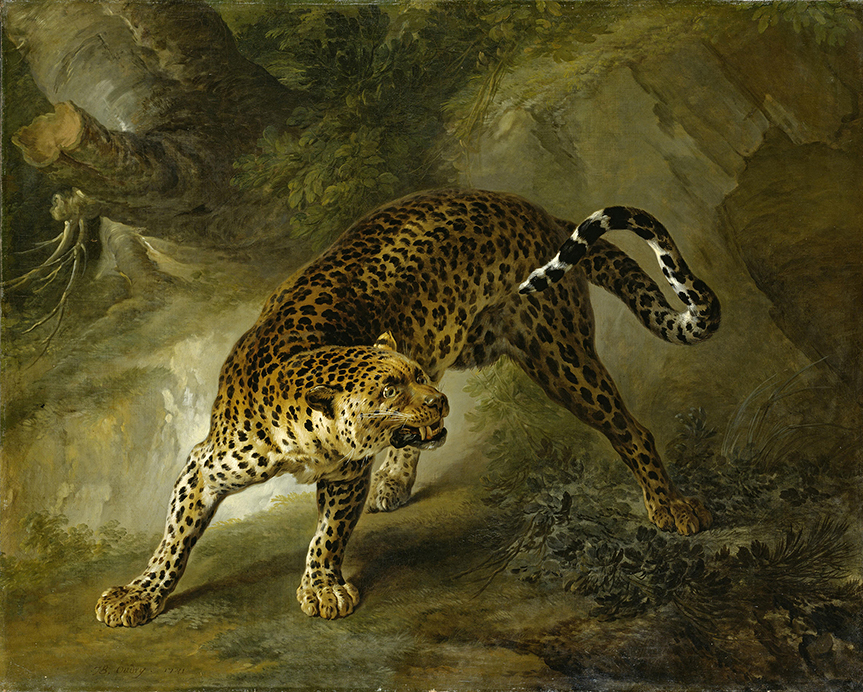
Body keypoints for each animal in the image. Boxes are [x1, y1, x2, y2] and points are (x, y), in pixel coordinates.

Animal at [95, 188, 719, 627]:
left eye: (412, 379)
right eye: (392, 391)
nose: (438, 401)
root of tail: (541, 216)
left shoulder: (346, 473)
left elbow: (328, 533)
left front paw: (322, 587)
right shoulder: (205, 465)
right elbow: (173, 538)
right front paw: (138, 594)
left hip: (560, 355)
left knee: (633, 430)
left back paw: (671, 508)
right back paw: (395, 483)